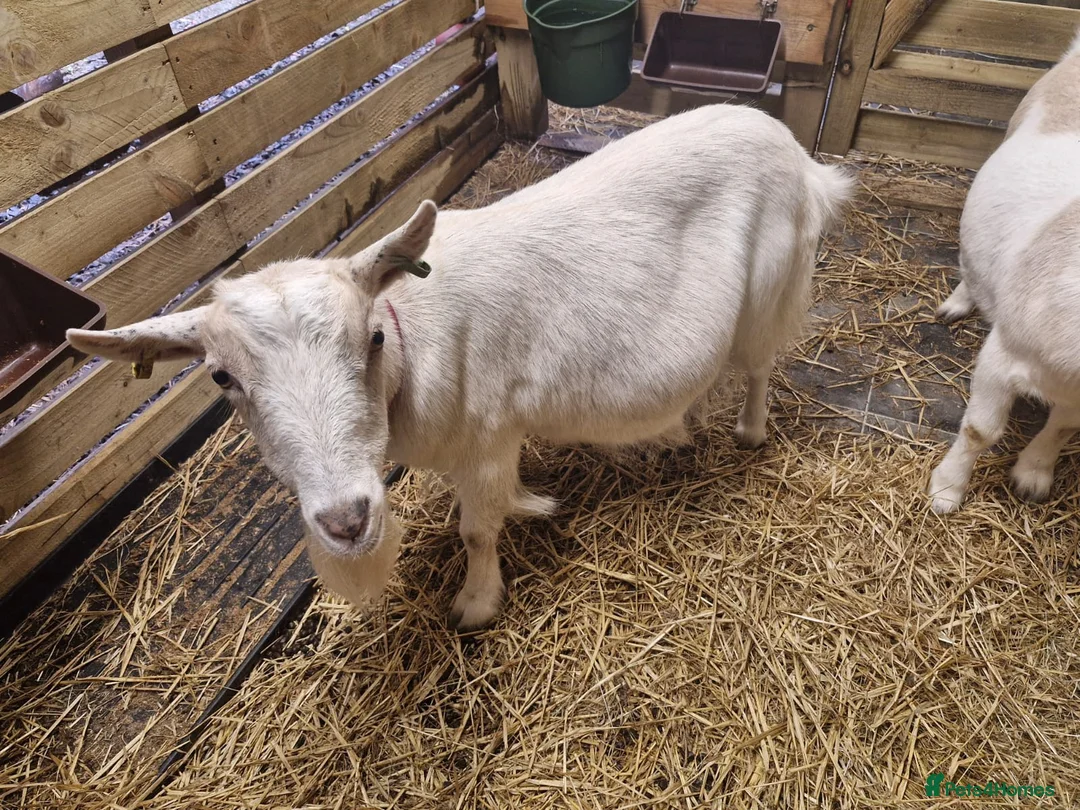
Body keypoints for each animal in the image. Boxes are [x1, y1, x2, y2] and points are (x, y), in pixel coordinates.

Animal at [68, 105, 853, 630]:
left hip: (771, 286)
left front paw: (476, 603)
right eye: (222, 379)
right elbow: (490, 501)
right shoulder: (481, 444)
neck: (413, 345)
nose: (347, 521)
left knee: (758, 366)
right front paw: (528, 504)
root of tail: (802, 157)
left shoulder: (487, 432)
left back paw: (748, 432)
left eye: (371, 340)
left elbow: (478, 531)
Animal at [929, 30, 1080, 513]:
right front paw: (946, 490)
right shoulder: (1004, 354)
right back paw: (957, 303)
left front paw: (1033, 476)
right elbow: (981, 430)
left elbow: (1063, 428)